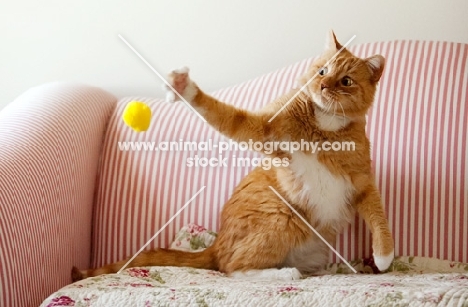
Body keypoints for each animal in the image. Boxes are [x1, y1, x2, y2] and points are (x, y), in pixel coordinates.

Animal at [72, 32, 394, 282]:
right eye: (322, 71)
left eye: (346, 81)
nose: (324, 86)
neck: (324, 127)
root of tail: (215, 245)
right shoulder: (265, 129)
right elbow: (227, 116)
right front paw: (186, 88)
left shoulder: (363, 181)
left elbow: (378, 216)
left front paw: (383, 256)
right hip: (284, 216)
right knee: (232, 268)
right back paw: (283, 273)